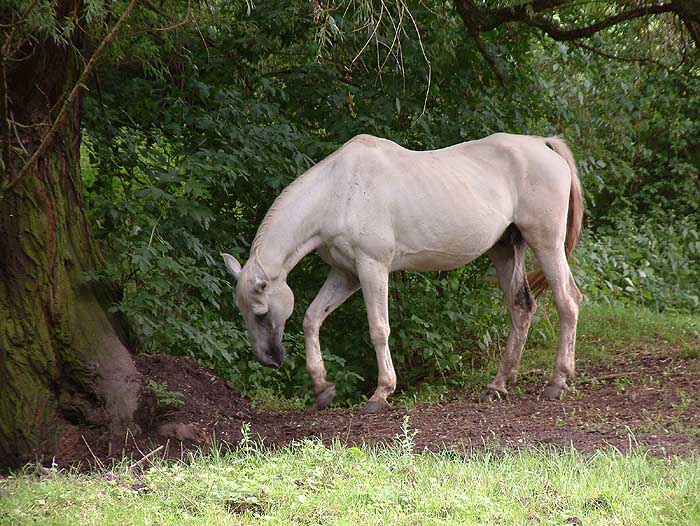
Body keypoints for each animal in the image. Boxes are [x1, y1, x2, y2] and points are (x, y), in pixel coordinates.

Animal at [221, 134, 584, 414]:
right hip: (506, 249)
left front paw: (381, 394)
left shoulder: (372, 268)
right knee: (522, 308)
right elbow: (312, 318)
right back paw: (497, 385)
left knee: (568, 301)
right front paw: (323, 388)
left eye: (261, 312)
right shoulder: (345, 275)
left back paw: (557, 382)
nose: (269, 359)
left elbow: (378, 329)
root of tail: (543, 144)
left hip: (545, 243)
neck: (340, 191)